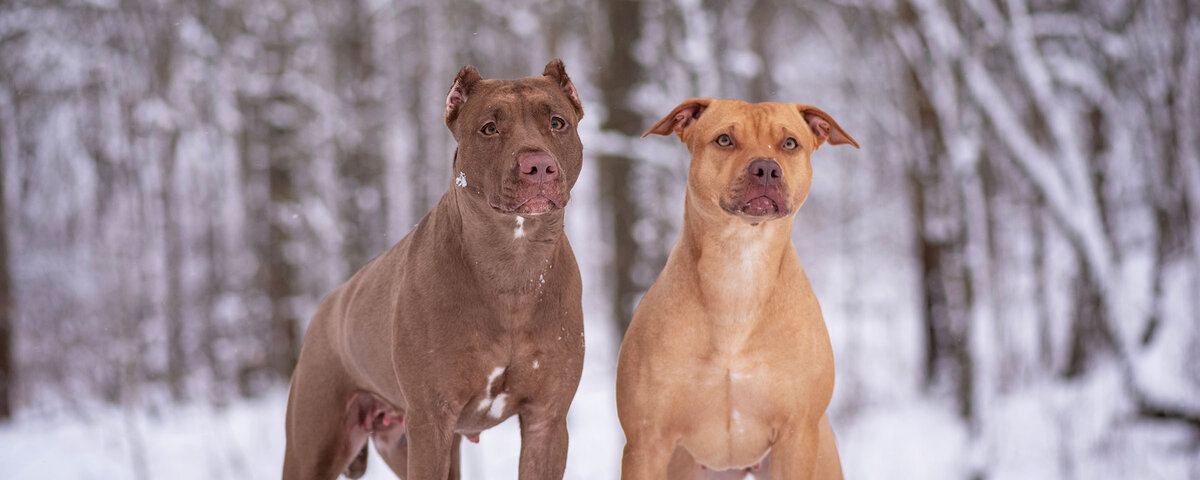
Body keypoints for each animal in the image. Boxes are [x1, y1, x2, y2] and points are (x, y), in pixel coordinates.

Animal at [277, 60, 585, 480]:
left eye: (557, 122)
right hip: (314, 444)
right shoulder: (431, 421)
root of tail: (329, 304)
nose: (538, 165)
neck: (514, 268)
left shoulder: (546, 421)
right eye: (489, 128)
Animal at [614, 98, 859, 480]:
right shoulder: (646, 443)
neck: (739, 266)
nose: (766, 169)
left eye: (790, 143)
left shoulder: (797, 434)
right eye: (725, 140)